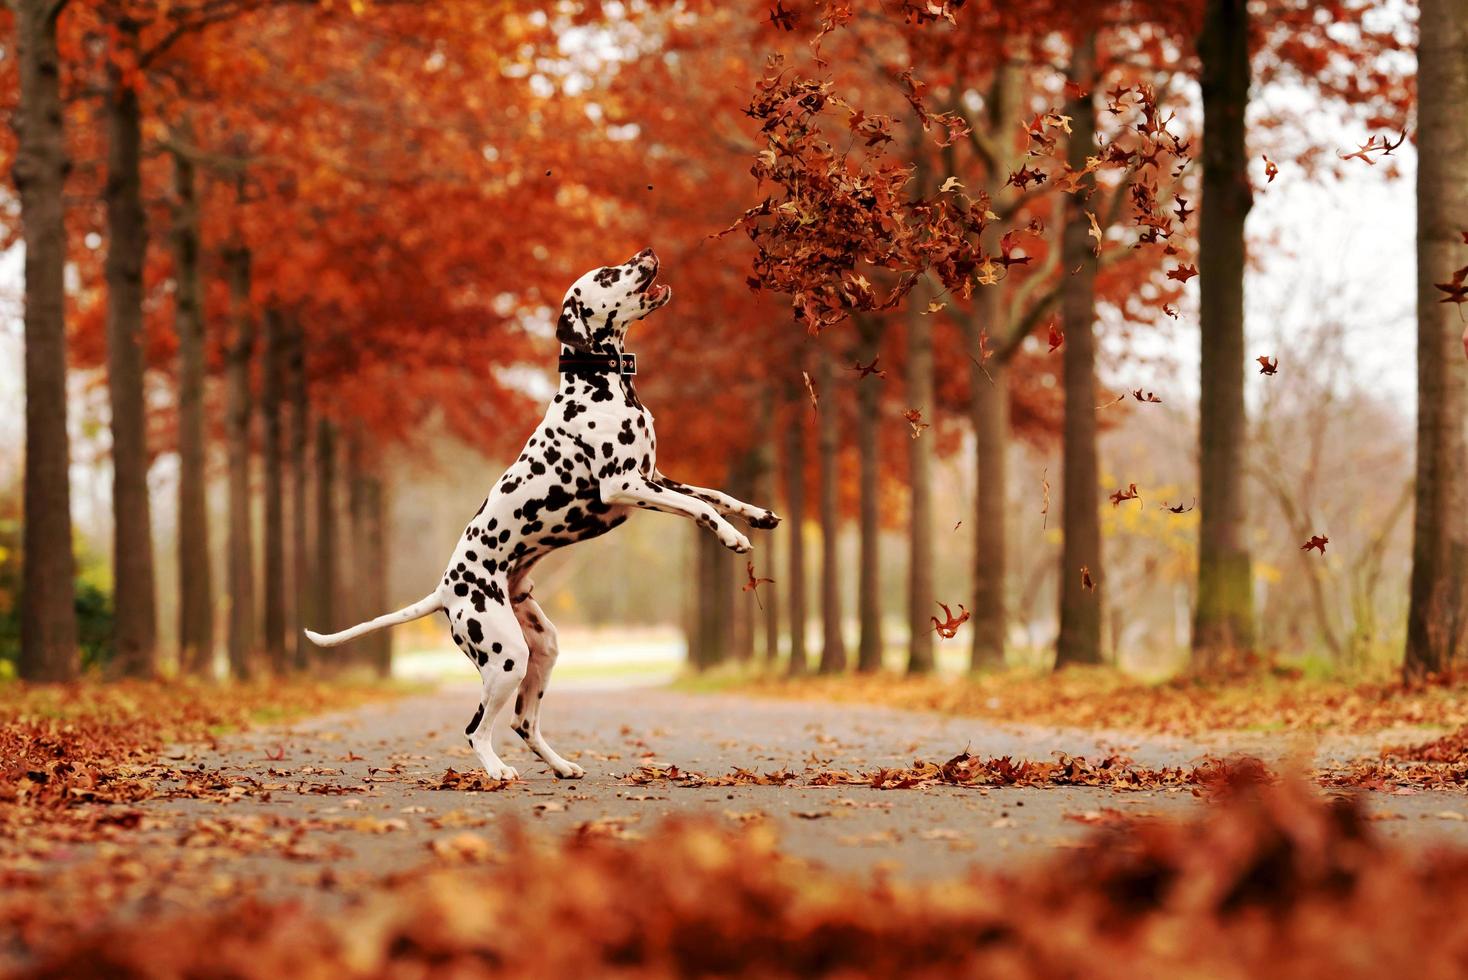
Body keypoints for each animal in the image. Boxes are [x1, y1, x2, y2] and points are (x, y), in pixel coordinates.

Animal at [306, 246, 780, 780]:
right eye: (607, 274)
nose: (647, 252)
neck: (600, 384)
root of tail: (445, 591)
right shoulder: (625, 484)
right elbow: (698, 506)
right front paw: (731, 537)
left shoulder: (654, 476)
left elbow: (712, 493)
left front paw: (756, 515)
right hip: (505, 655)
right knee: (476, 728)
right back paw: (496, 771)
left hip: (543, 647)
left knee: (523, 722)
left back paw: (562, 765)